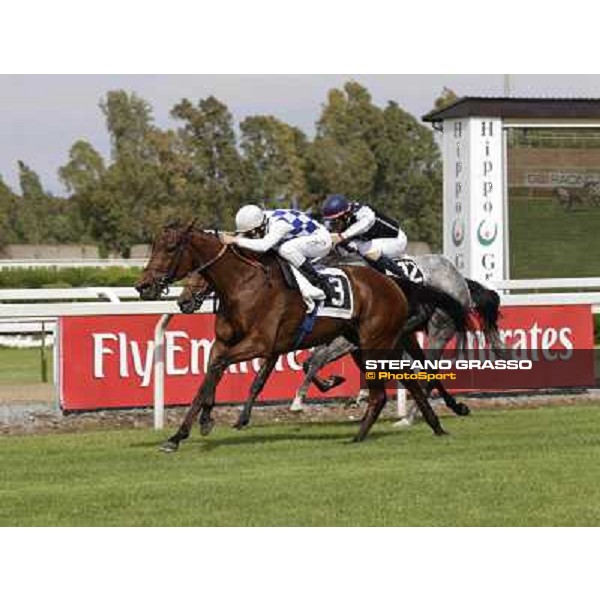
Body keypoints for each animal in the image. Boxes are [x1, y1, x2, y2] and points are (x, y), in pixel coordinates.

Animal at [136, 220, 474, 450]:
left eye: (170, 248)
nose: (143, 286)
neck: (244, 283)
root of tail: (393, 283)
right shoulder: (229, 344)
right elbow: (213, 375)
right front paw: (184, 431)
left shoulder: (260, 343)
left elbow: (229, 371)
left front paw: (205, 423)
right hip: (373, 344)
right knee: (411, 379)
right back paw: (434, 425)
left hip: (377, 343)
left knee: (393, 387)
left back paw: (363, 435)